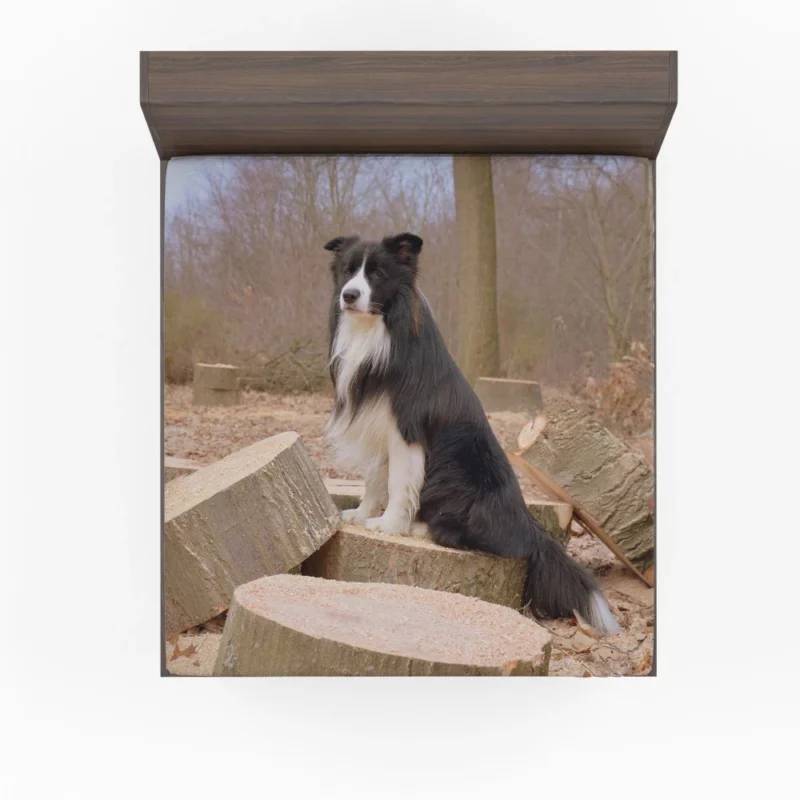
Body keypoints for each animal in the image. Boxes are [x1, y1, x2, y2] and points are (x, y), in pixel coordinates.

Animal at [324, 233, 620, 636]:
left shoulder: (407, 430)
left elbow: (400, 482)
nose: (350, 295)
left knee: (471, 536)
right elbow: (374, 479)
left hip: (460, 478)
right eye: (347, 271)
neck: (378, 329)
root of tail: (529, 528)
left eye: (378, 274)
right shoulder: (378, 426)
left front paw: (389, 526)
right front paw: (360, 514)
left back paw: (420, 527)